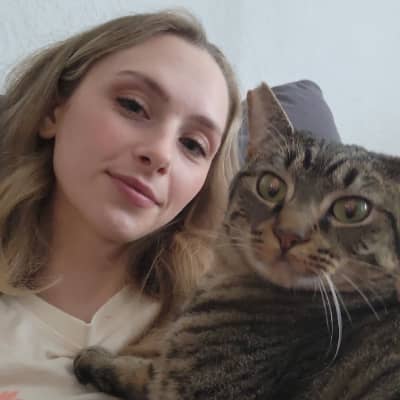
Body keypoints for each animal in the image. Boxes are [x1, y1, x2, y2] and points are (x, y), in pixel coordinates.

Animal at [73, 82, 400, 399]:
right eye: (271, 187)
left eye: (351, 210)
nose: (289, 234)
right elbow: (147, 371)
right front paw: (98, 360)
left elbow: (152, 373)